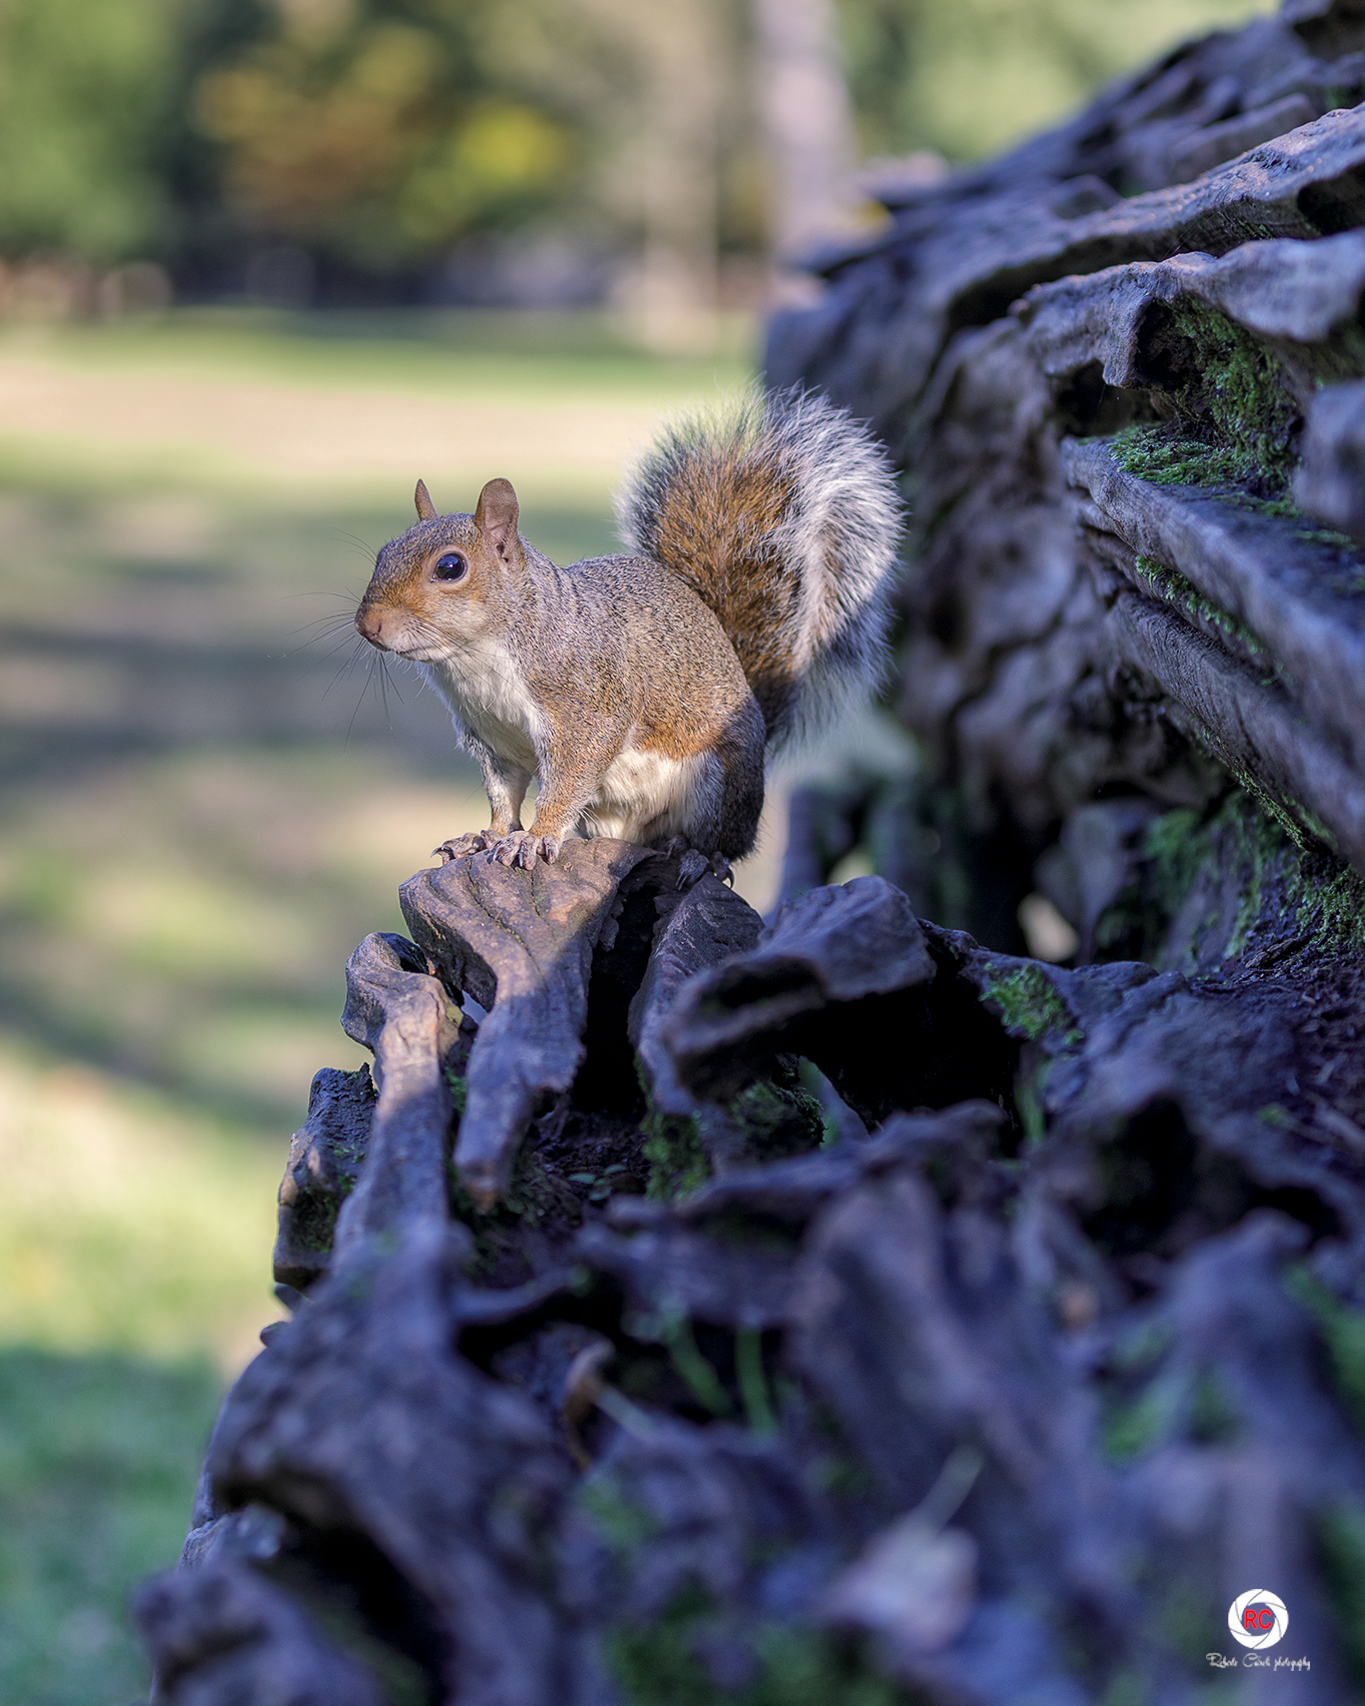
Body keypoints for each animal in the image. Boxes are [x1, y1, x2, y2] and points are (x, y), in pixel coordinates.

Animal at [354, 385, 902, 884]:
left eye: (450, 567)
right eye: (384, 552)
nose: (367, 625)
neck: (475, 663)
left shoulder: (586, 710)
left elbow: (568, 780)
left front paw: (535, 837)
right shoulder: (492, 740)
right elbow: (503, 795)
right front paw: (487, 835)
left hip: (720, 781)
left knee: (724, 841)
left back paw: (702, 855)